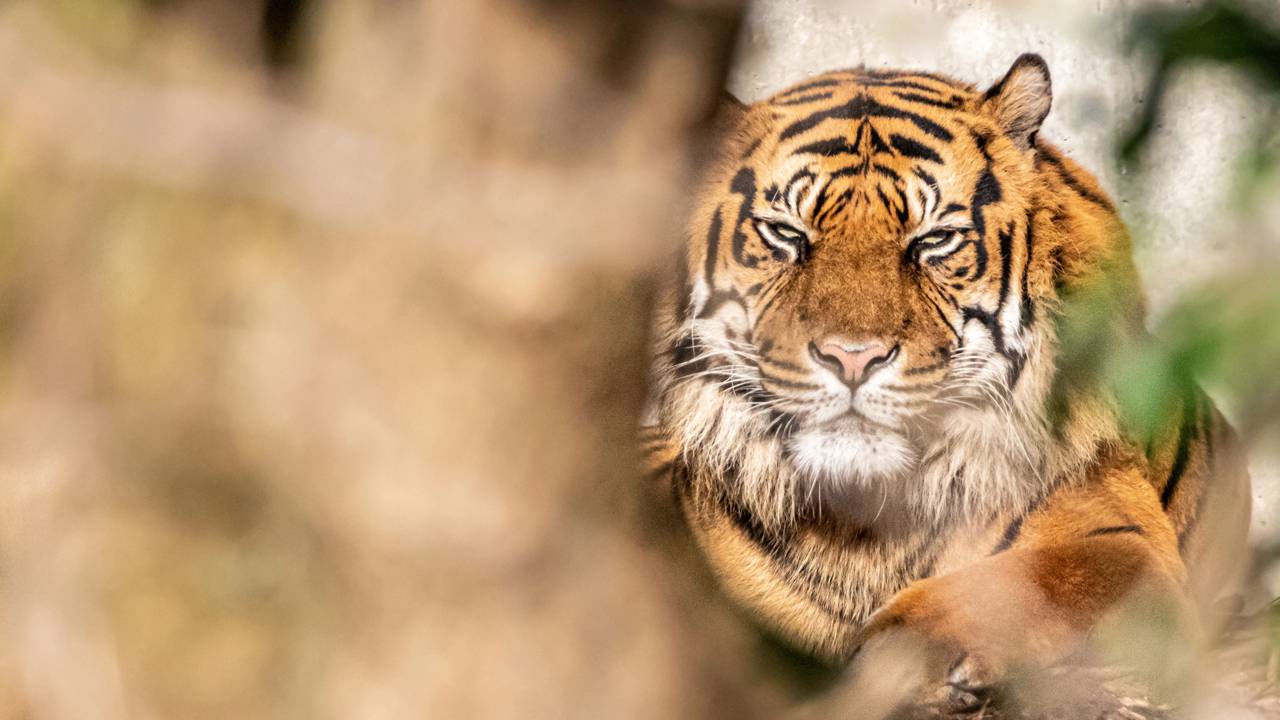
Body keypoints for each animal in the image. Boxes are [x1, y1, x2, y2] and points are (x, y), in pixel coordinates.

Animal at [643, 54, 1252, 710]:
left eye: (933, 241)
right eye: (785, 234)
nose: (852, 358)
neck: (862, 524)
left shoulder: (1123, 540)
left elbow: (1030, 580)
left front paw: (901, 654)